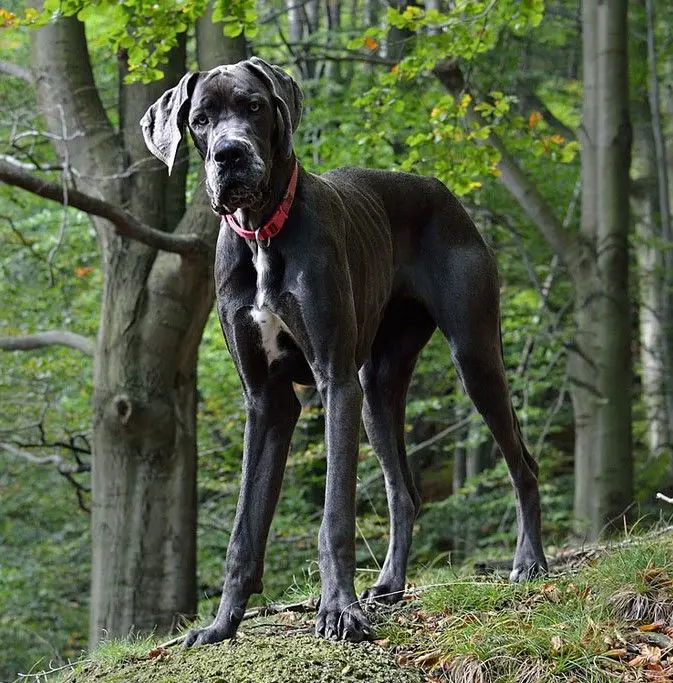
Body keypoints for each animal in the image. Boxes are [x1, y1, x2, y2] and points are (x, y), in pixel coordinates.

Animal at [142, 57, 544, 648]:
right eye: (200, 119)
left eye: (254, 106)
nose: (229, 154)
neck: (262, 234)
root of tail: (440, 189)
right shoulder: (267, 401)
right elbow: (244, 529)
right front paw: (220, 625)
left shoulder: (334, 381)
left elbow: (334, 517)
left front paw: (338, 611)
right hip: (376, 391)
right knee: (404, 492)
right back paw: (390, 585)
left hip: (473, 357)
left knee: (522, 465)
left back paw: (530, 562)